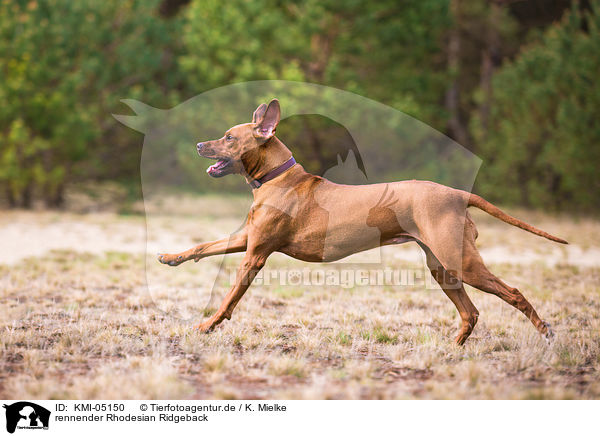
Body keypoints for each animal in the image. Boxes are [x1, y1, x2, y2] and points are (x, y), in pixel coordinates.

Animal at [156, 99, 568, 344]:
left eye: (228, 138)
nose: (198, 145)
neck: (276, 178)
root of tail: (456, 193)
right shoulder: (246, 238)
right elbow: (202, 246)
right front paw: (171, 258)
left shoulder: (255, 255)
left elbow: (229, 298)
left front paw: (207, 325)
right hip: (442, 267)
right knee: (471, 312)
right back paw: (451, 350)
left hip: (461, 261)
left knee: (513, 293)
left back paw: (545, 331)